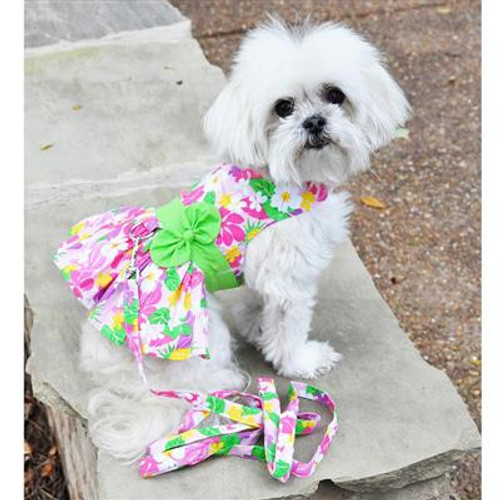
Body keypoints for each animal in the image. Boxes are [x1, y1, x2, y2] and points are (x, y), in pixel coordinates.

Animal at [81, 17, 410, 462]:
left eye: (335, 96)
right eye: (283, 107)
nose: (314, 122)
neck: (285, 177)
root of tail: (111, 373)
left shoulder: (265, 267)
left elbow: (259, 300)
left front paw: (257, 326)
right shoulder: (290, 277)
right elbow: (289, 328)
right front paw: (300, 361)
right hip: (201, 335)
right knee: (192, 386)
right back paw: (225, 381)